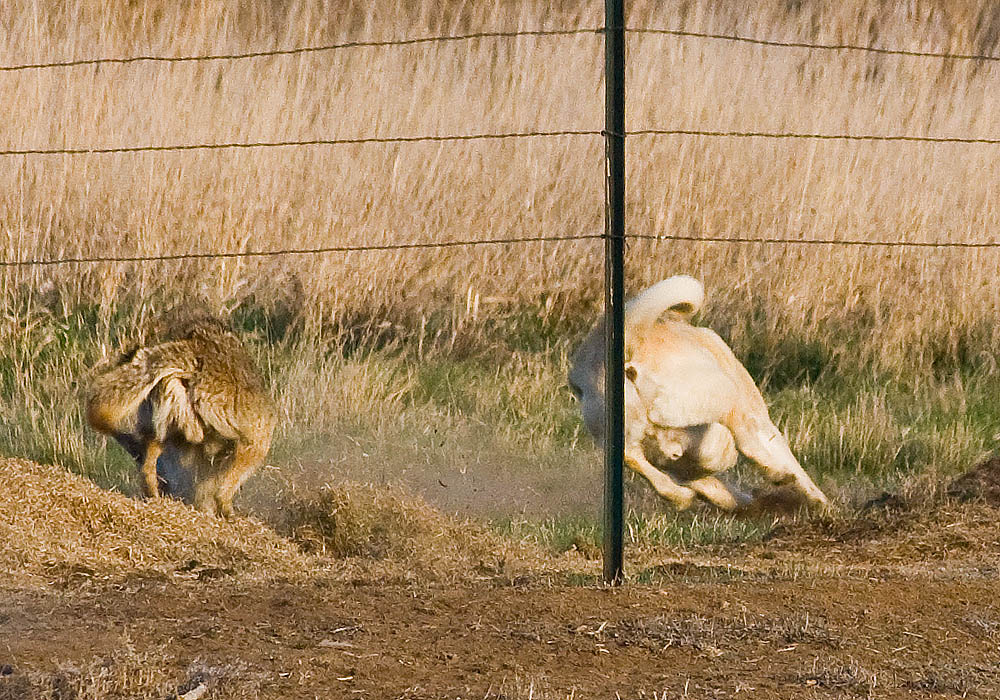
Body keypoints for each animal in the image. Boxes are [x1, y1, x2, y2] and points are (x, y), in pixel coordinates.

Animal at [572, 276, 828, 512]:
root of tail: (630, 342)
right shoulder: (758, 421)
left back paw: (683, 496)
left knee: (638, 461)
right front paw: (817, 501)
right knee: (744, 444)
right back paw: (775, 476)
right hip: (724, 396)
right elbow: (789, 462)